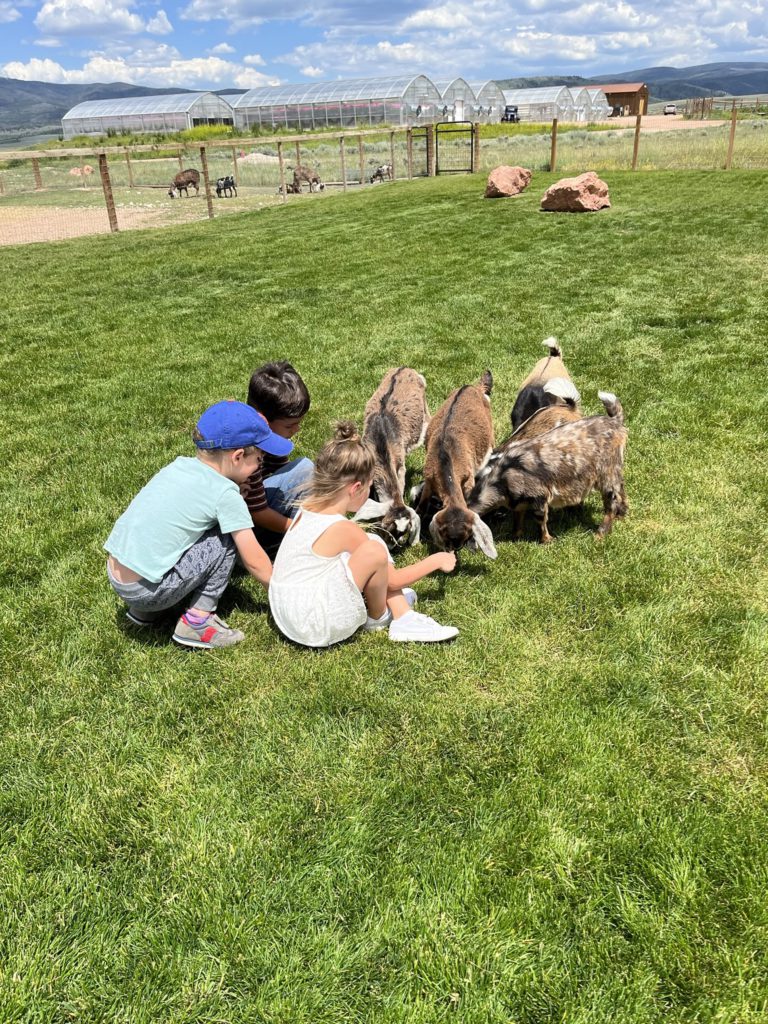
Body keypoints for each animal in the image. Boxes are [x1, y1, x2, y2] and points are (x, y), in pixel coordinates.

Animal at [356, 364, 434, 548]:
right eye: (387, 529)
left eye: (403, 532)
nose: (392, 547)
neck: (381, 442)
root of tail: (405, 368)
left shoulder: (400, 466)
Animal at [415, 370, 499, 561]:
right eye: (446, 537)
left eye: (467, 536)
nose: (454, 550)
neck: (446, 456)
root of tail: (474, 387)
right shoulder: (429, 479)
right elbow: (422, 504)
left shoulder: (468, 481)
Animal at [468, 389, 630, 544]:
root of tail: (615, 422)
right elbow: (518, 519)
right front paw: (515, 536)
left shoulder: (539, 496)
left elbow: (540, 519)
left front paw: (547, 540)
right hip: (614, 468)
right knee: (621, 486)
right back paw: (622, 514)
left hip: (606, 472)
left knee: (612, 500)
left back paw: (600, 534)